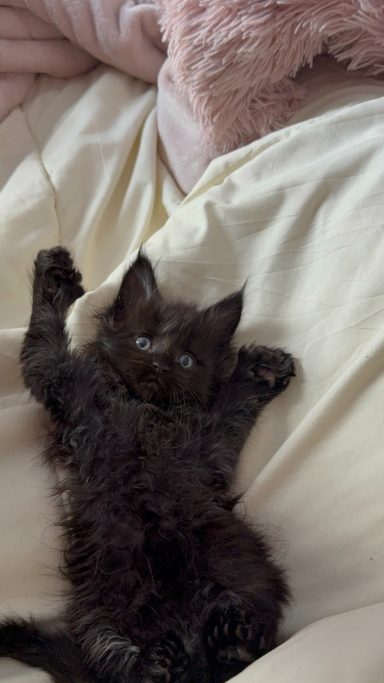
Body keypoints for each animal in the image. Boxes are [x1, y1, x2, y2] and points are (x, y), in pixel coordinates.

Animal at [0, 248, 294, 683]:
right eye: (143, 341)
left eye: (186, 360)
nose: (159, 364)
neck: (144, 408)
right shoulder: (62, 382)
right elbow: (42, 340)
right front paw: (53, 276)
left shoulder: (207, 450)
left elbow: (230, 410)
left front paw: (259, 374)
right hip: (97, 609)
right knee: (123, 669)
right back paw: (160, 663)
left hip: (245, 571)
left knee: (249, 639)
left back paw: (231, 639)